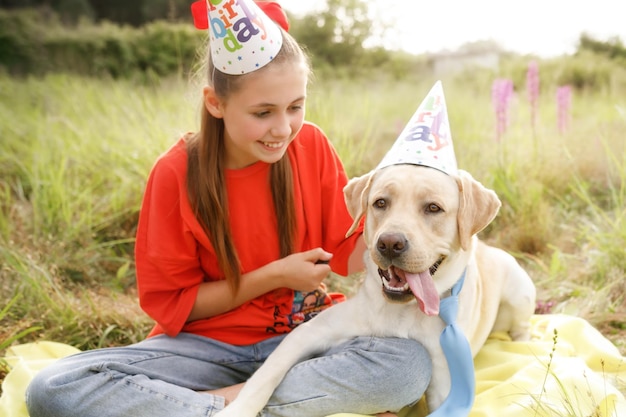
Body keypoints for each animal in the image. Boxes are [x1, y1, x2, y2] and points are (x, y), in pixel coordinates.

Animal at [217, 164, 532, 414]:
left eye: (433, 208)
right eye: (380, 203)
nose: (390, 243)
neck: (401, 310)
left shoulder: (446, 385)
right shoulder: (309, 332)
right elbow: (265, 376)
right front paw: (236, 410)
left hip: (519, 289)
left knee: (522, 326)